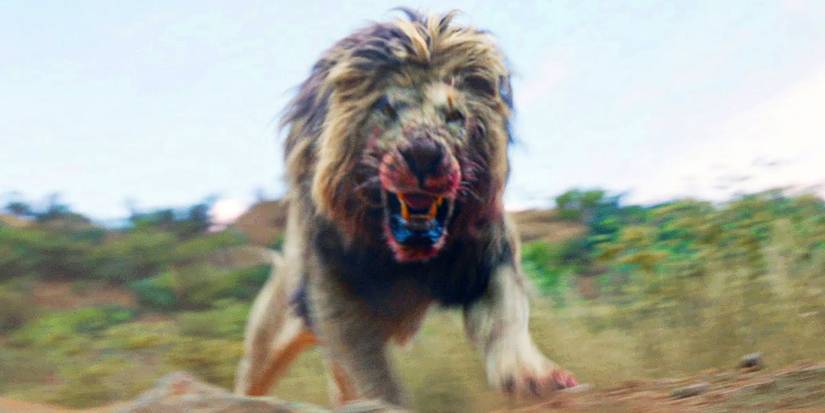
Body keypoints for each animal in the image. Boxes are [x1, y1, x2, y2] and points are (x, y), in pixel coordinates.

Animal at [234, 9, 578, 409]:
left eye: (455, 116)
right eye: (386, 108)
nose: (423, 153)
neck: (404, 260)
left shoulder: (488, 261)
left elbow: (505, 320)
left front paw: (532, 376)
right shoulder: (335, 300)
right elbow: (373, 376)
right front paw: (383, 402)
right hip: (267, 341)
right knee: (253, 378)